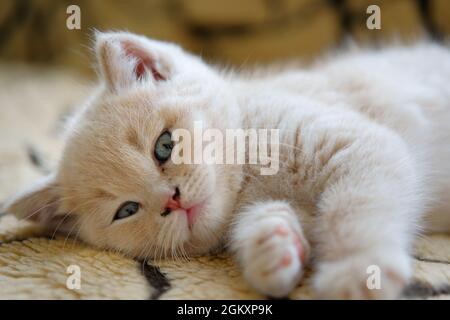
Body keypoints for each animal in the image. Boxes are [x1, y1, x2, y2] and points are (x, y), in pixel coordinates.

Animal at [3, 31, 450, 298]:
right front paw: (271, 246)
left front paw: (356, 273)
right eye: (126, 210)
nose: (172, 200)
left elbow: (353, 207)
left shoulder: (360, 144)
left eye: (164, 146)